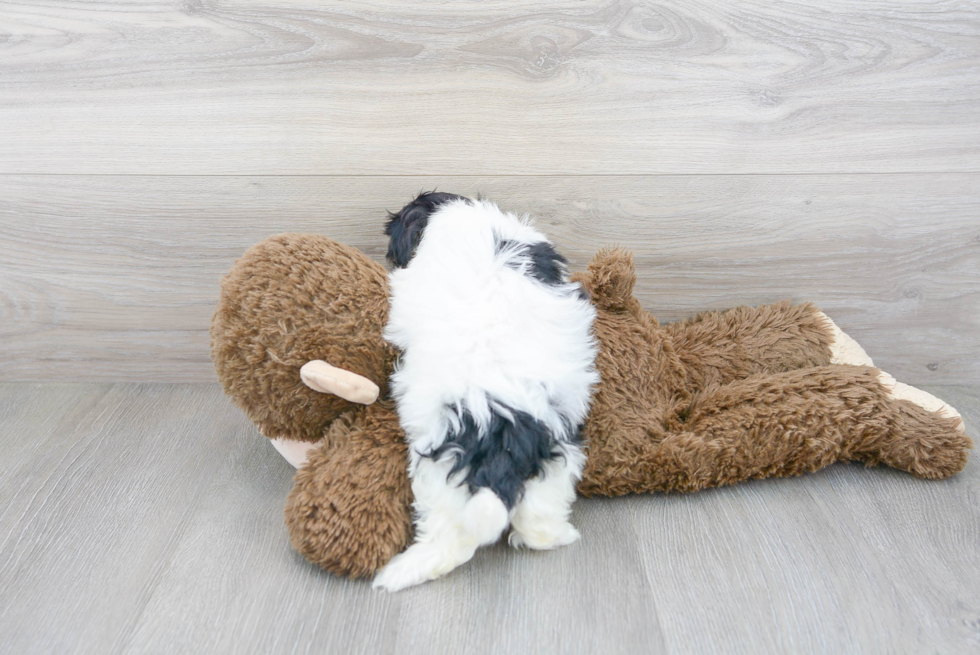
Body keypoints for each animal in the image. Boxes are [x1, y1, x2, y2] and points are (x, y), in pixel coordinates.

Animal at [372, 192, 596, 592]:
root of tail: (506, 427)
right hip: (557, 451)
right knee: (538, 515)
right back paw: (558, 536)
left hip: (440, 465)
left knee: (450, 538)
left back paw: (400, 571)